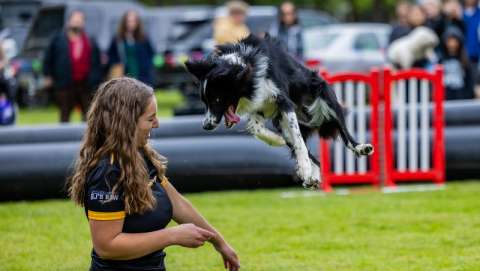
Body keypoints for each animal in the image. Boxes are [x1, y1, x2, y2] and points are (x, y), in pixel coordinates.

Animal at [185, 35, 376, 190]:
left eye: (216, 100)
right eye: (204, 101)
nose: (206, 126)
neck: (247, 68)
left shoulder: (283, 101)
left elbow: (298, 141)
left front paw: (303, 166)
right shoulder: (260, 107)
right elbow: (257, 129)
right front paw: (278, 141)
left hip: (324, 96)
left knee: (344, 134)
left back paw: (360, 148)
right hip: (281, 122)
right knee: (312, 155)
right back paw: (311, 177)